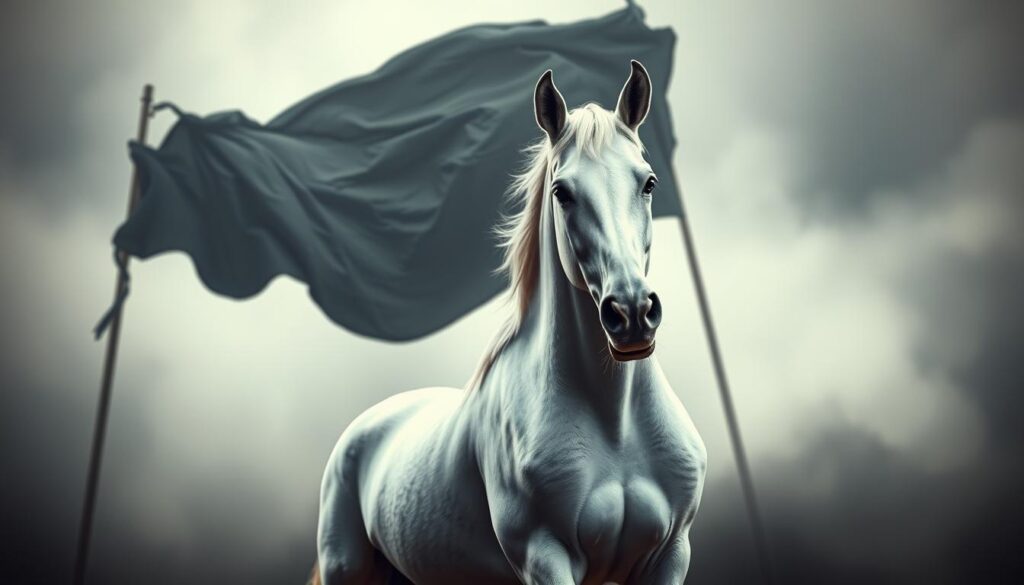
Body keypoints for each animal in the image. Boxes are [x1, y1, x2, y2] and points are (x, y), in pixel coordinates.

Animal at [312, 61, 707, 585]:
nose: (632, 314)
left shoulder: (671, 554)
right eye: (562, 192)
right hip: (345, 568)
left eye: (648, 182)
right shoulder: (544, 556)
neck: (615, 424)